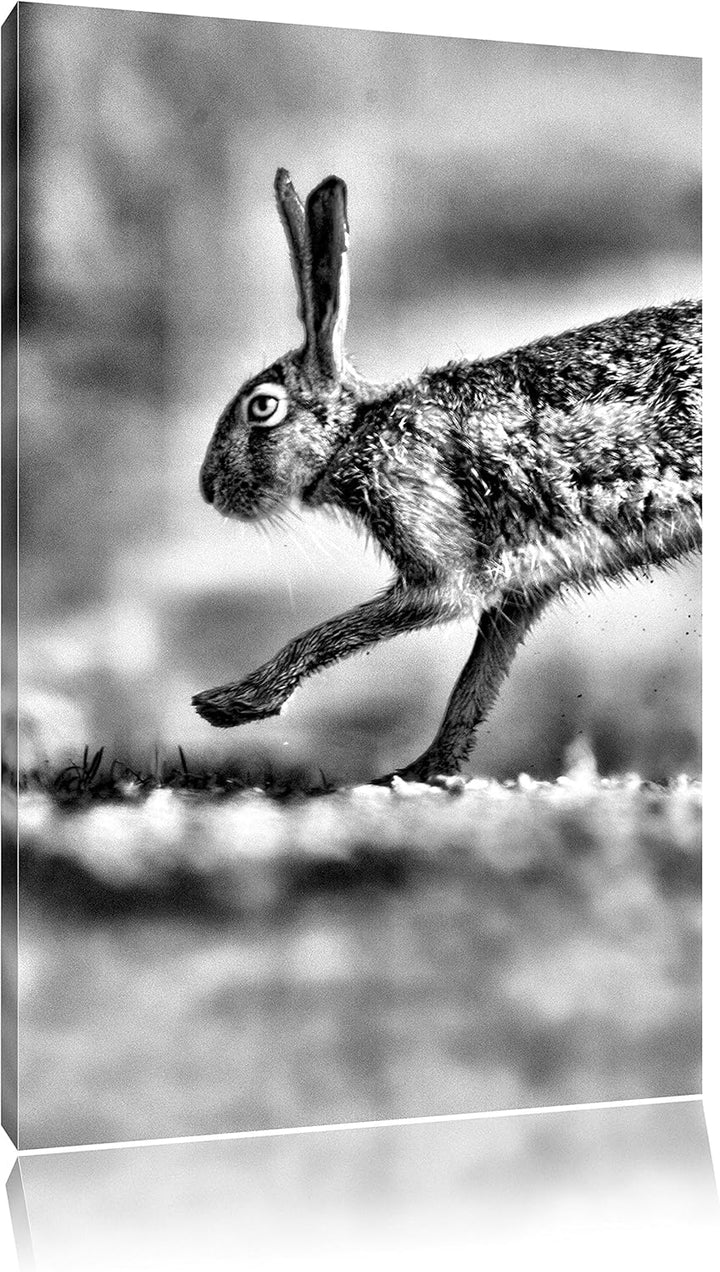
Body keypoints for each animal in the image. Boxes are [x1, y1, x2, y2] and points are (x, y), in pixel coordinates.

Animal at [193, 168, 701, 783]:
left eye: (263, 408)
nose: (209, 490)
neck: (357, 432)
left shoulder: (437, 557)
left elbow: (346, 628)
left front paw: (231, 704)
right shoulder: (522, 586)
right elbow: (474, 682)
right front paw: (422, 771)